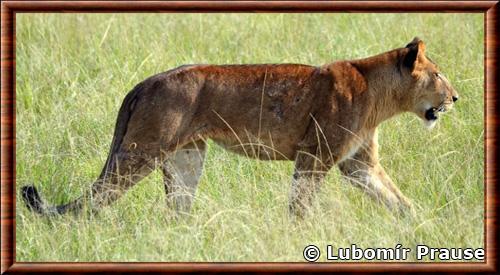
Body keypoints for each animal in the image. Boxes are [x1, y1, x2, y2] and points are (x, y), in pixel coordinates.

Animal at [22, 37, 458, 218]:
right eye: (438, 74)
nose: (455, 98)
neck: (379, 96)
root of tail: (144, 83)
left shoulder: (359, 165)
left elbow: (398, 200)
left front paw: (426, 226)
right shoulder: (314, 156)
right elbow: (299, 205)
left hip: (186, 158)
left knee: (175, 210)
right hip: (139, 152)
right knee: (96, 200)